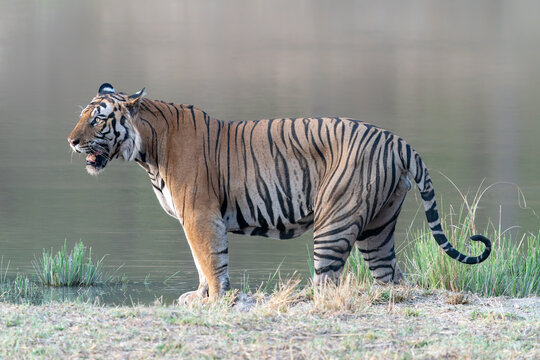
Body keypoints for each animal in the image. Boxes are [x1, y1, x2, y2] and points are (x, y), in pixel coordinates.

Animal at [66, 83, 490, 302]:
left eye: (99, 119)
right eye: (82, 115)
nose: (71, 141)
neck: (148, 150)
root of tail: (399, 142)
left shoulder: (199, 214)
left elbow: (209, 259)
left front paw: (217, 299)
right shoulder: (192, 217)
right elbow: (201, 262)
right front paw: (201, 296)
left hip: (335, 220)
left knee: (327, 280)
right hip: (379, 227)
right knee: (390, 277)